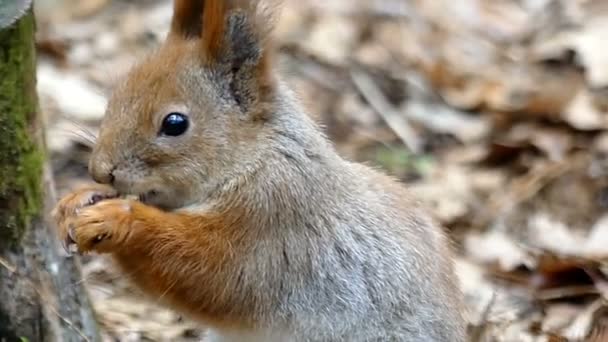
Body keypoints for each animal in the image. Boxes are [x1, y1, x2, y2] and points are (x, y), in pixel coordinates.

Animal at [53, 1, 466, 340]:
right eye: (118, 93)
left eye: (174, 123)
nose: (100, 171)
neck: (254, 157)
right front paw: (76, 200)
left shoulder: (272, 220)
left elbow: (211, 273)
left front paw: (116, 219)